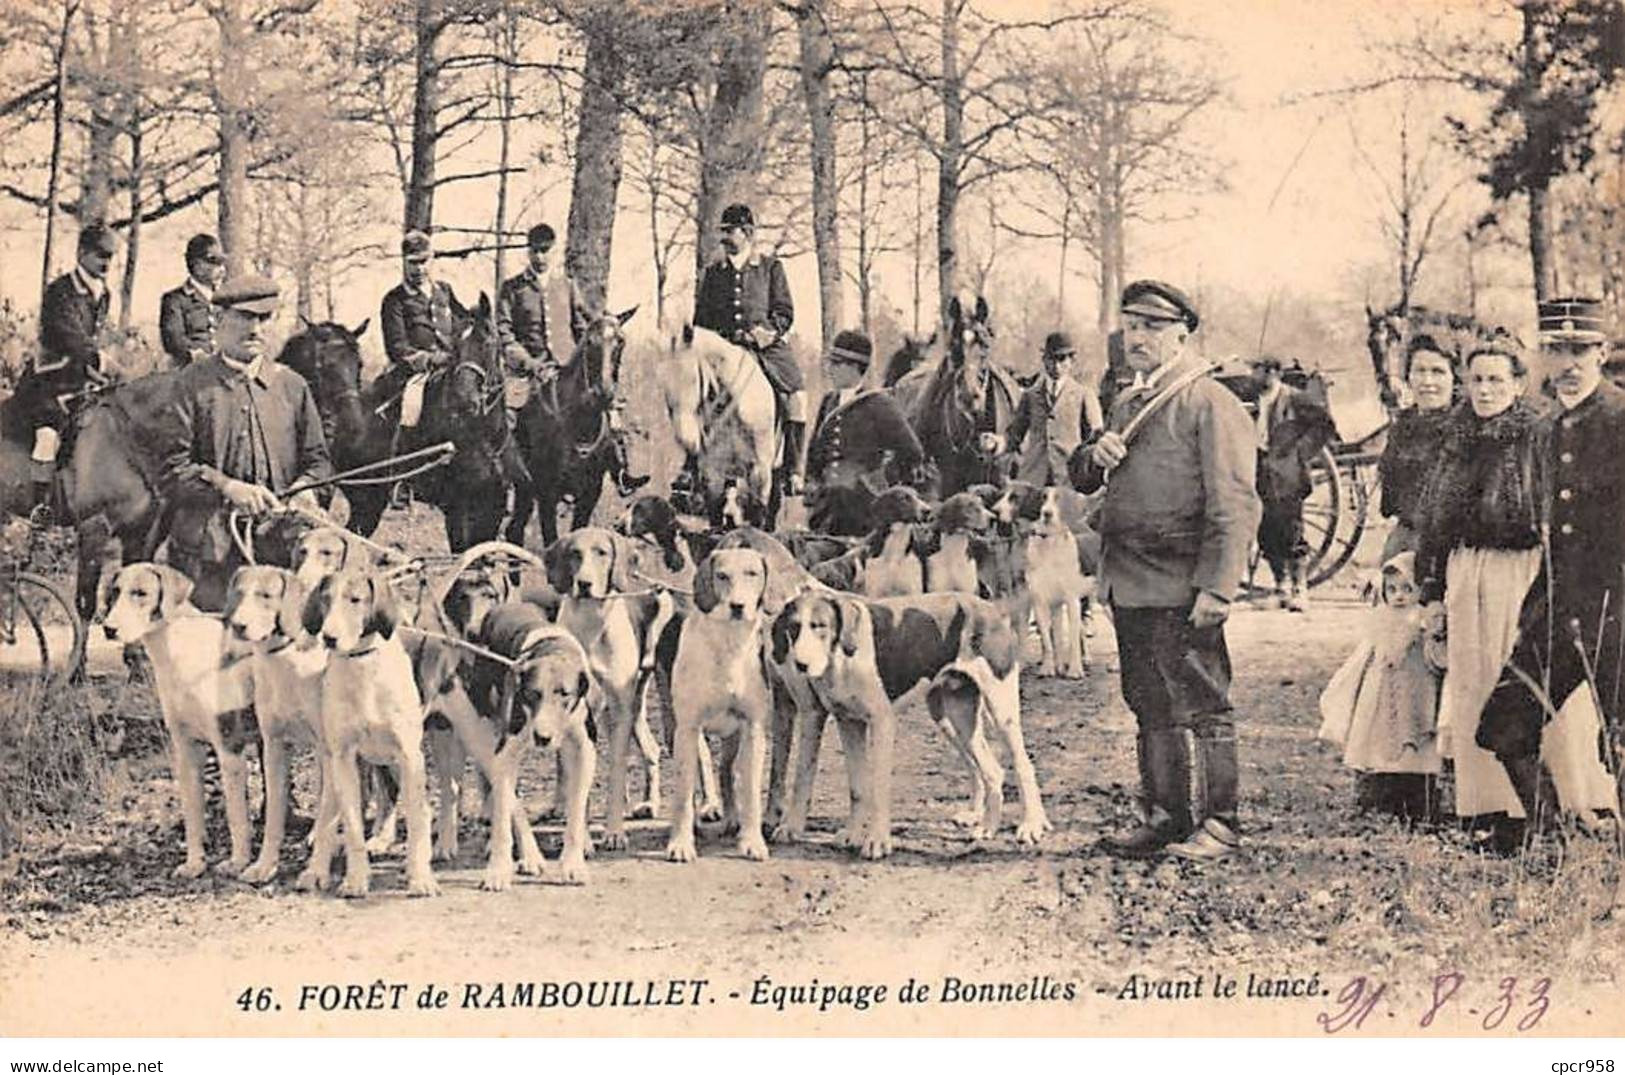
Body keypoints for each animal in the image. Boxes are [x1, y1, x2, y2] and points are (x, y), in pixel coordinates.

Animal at [277, 298, 520, 558]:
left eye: (488, 343)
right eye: (454, 349)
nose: (464, 401)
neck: (483, 440)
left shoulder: (492, 507)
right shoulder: (457, 511)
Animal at [510, 300, 637, 548]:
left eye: (621, 340)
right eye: (589, 341)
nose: (603, 393)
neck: (579, 424)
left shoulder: (589, 495)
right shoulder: (546, 494)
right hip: (524, 489)